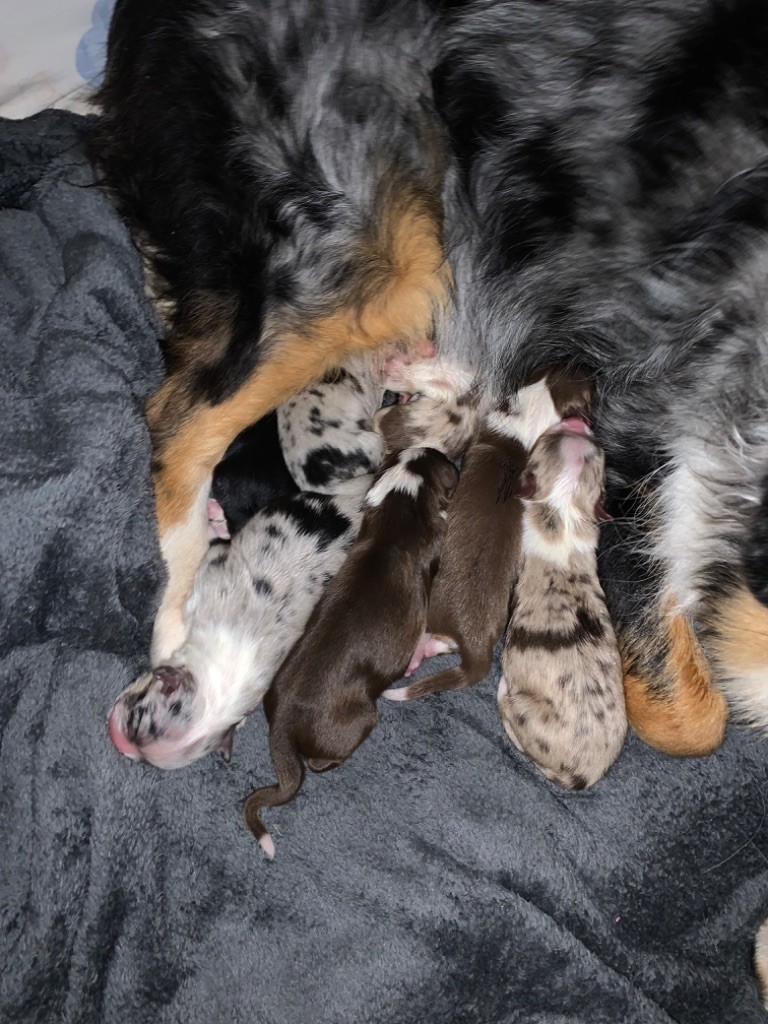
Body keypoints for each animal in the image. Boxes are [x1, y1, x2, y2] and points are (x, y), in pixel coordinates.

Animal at [495, 419, 626, 786]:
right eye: (597, 450)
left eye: (545, 442)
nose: (578, 421)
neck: (565, 505)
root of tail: (581, 776)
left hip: (523, 712)